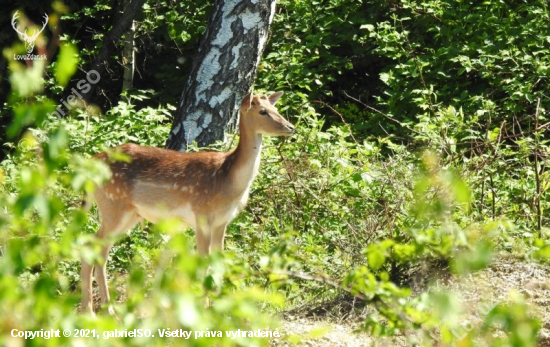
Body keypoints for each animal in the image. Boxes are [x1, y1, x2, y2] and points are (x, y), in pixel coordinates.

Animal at [81, 92, 294, 316]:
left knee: (96, 248)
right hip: (113, 205)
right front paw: (204, 307)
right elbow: (203, 260)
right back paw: (100, 311)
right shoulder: (201, 215)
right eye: (262, 111)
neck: (228, 181)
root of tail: (91, 162)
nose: (290, 127)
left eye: (275, 108)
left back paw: (98, 309)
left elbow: (219, 259)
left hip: (129, 214)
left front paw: (220, 306)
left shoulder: (222, 221)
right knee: (93, 247)